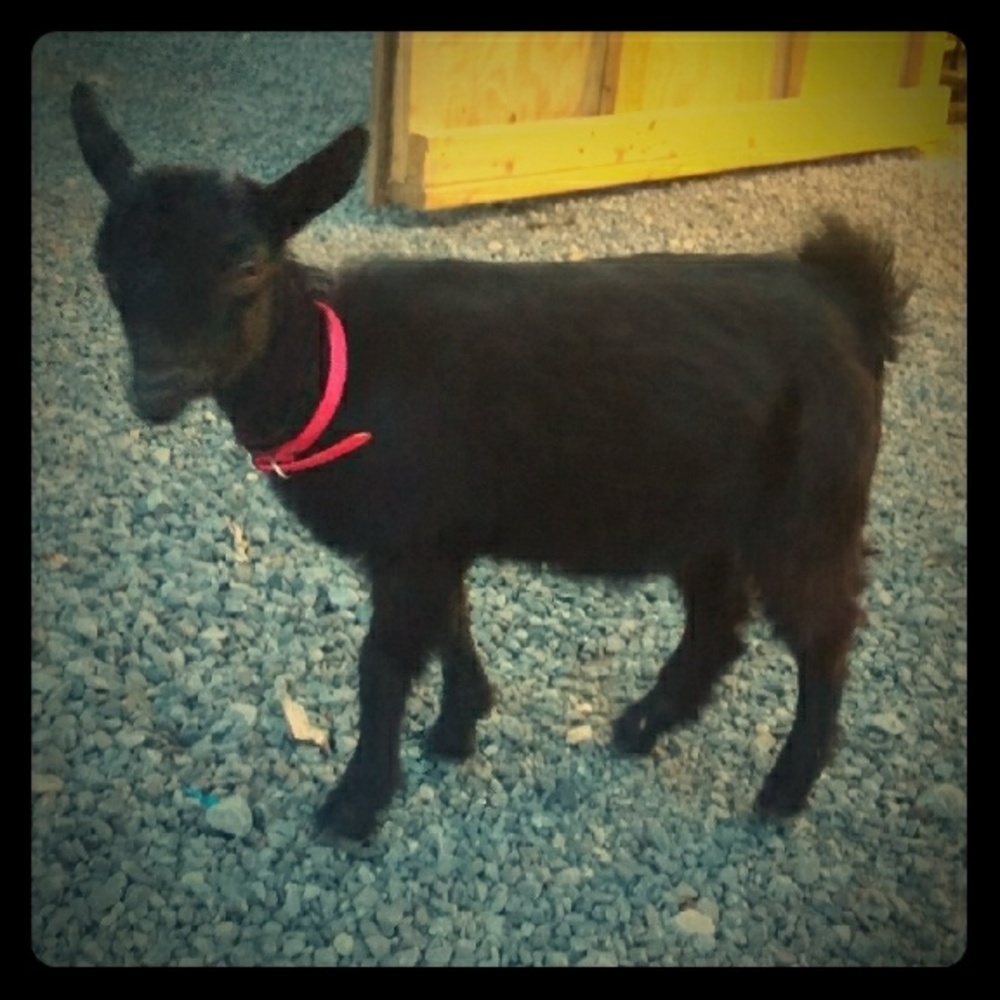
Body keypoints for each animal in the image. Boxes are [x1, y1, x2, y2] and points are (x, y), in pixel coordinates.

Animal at [70, 82, 910, 842]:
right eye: (104, 263)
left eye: (246, 264)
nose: (156, 388)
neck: (335, 370)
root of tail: (849, 299)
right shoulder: (434, 536)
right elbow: (452, 623)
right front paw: (458, 726)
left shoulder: (412, 537)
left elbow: (384, 665)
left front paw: (356, 803)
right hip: (708, 512)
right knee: (720, 621)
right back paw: (644, 724)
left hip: (811, 504)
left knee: (827, 633)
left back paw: (785, 788)